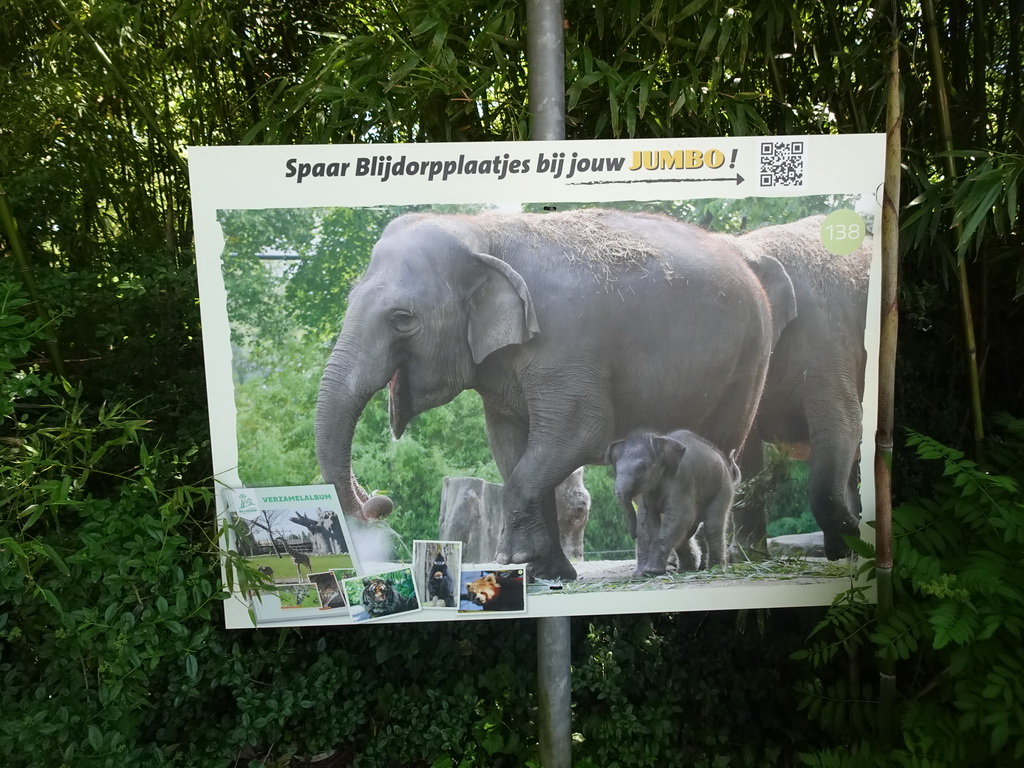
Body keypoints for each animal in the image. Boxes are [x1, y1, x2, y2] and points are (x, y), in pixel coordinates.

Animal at [602, 434, 741, 577]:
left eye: (641, 468)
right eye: (616, 469)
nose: (633, 535)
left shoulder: (682, 481)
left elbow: (680, 517)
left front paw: (651, 571)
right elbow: (648, 520)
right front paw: (642, 573)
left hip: (722, 489)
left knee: (712, 527)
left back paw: (715, 569)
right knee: (687, 533)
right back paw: (686, 569)